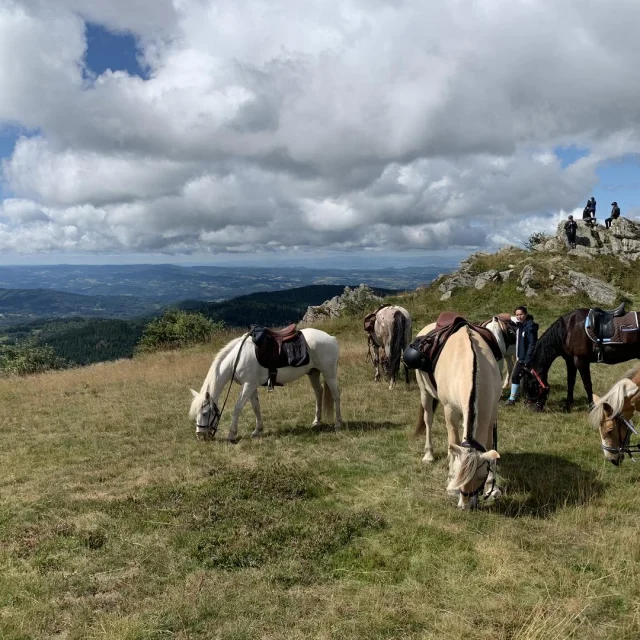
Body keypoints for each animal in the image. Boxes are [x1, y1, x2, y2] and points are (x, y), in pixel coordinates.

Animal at [189, 328, 342, 442]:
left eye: (205, 413)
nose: (200, 436)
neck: (237, 359)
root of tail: (331, 338)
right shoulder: (251, 386)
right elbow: (256, 407)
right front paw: (257, 430)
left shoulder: (248, 385)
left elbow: (237, 408)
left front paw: (232, 434)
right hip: (313, 373)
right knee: (318, 392)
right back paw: (316, 421)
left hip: (329, 373)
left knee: (336, 395)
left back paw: (338, 424)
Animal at [404, 312, 504, 508]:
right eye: (458, 475)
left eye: (481, 476)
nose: (466, 506)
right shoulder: (450, 410)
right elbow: (453, 441)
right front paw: (450, 483)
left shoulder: (491, 412)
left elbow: (490, 446)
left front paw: (492, 487)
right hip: (425, 392)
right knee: (428, 420)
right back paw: (428, 454)